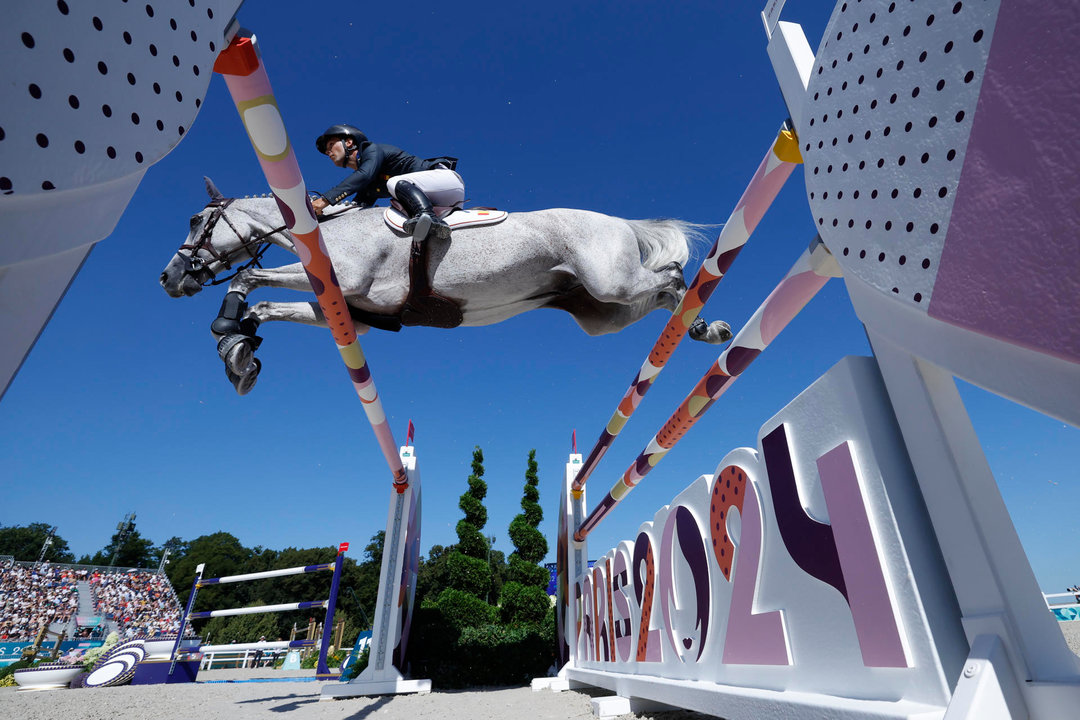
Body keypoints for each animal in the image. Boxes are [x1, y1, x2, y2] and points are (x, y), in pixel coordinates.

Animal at [159, 180, 730, 395]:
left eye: (196, 221)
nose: (168, 278)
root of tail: (618, 221)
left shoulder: (348, 280)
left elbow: (250, 276)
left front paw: (228, 329)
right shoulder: (347, 313)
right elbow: (266, 304)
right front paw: (240, 351)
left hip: (613, 281)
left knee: (670, 276)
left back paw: (707, 324)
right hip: (604, 312)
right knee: (659, 294)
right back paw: (699, 326)